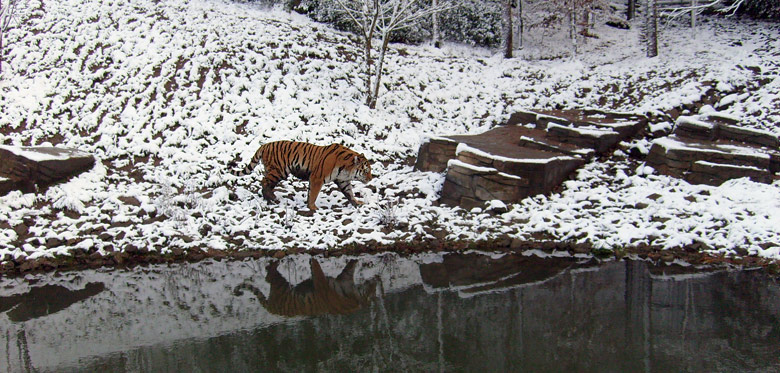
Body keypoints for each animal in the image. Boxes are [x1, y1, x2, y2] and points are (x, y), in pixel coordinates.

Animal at [229, 139, 372, 209]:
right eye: (366, 171)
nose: (371, 178)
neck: (346, 168)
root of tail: (264, 145)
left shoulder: (343, 180)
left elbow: (349, 192)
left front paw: (357, 203)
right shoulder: (317, 177)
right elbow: (313, 194)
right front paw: (313, 207)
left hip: (274, 171)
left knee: (266, 182)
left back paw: (270, 197)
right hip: (279, 171)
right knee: (264, 182)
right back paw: (271, 198)